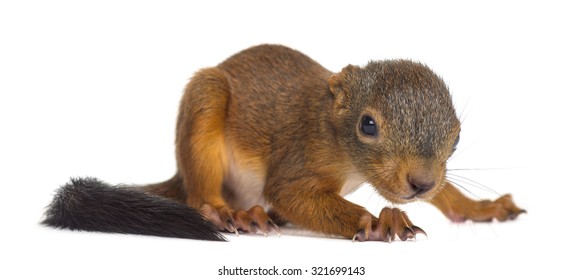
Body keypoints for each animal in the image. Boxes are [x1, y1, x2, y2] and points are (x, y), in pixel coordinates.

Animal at [42, 44, 524, 242]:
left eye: (456, 139)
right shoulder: (300, 156)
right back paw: (229, 212)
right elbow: (290, 193)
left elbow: (449, 195)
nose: (421, 182)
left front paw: (481, 208)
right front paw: (376, 222)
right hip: (205, 103)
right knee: (200, 195)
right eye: (368, 126)